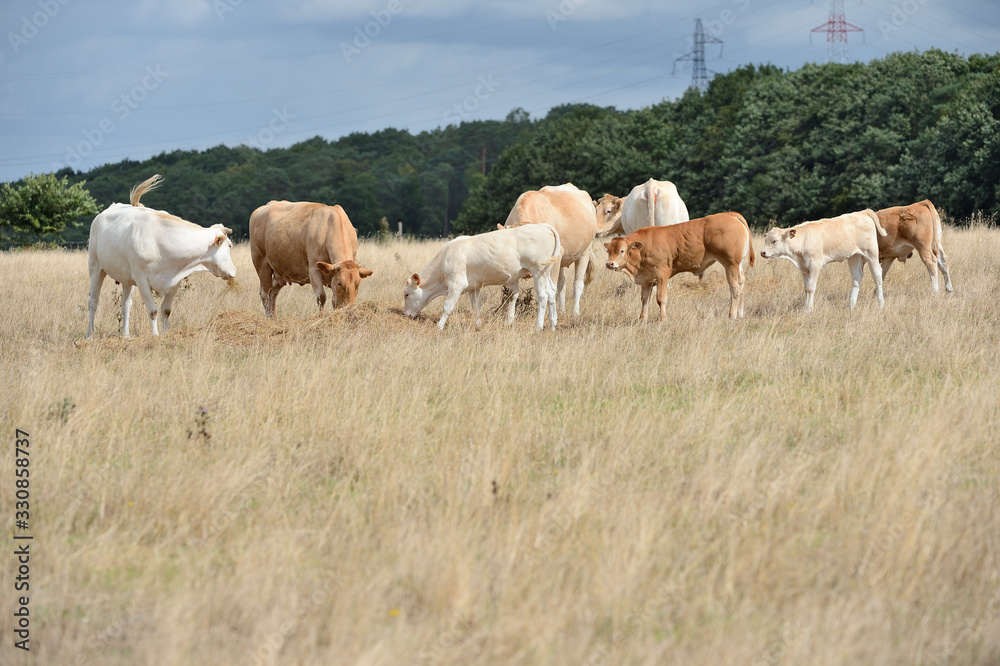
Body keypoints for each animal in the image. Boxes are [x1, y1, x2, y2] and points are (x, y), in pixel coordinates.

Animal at [85, 175, 235, 338]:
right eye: (230, 245)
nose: (234, 272)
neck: (161, 242)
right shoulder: (141, 279)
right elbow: (153, 310)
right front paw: (155, 334)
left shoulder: (175, 280)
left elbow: (166, 310)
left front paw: (165, 332)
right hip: (95, 267)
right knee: (93, 301)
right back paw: (89, 335)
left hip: (126, 278)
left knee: (126, 305)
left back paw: (126, 334)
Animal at [404, 223, 564, 330]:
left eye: (406, 294)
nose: (405, 314)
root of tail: (543, 226)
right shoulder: (473, 287)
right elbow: (477, 307)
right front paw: (478, 324)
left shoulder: (456, 284)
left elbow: (447, 306)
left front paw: (440, 325)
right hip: (547, 273)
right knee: (551, 293)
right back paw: (553, 324)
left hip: (538, 271)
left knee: (543, 295)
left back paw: (538, 326)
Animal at [498, 183, 596, 316]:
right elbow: (513, 293)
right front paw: (510, 317)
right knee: (562, 284)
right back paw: (562, 311)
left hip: (584, 253)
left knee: (577, 284)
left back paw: (575, 312)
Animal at [600, 210, 752, 320]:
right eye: (608, 251)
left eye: (622, 250)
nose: (609, 263)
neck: (643, 249)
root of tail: (729, 215)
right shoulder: (646, 281)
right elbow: (645, 300)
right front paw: (642, 319)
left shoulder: (662, 275)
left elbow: (660, 298)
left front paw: (663, 319)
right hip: (738, 266)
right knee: (742, 284)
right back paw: (740, 314)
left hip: (731, 265)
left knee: (735, 289)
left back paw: (732, 316)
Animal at [760, 208, 888, 312]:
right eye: (766, 240)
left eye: (775, 241)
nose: (762, 252)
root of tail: (861, 213)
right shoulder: (804, 268)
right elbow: (806, 288)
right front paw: (806, 307)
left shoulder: (815, 264)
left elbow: (811, 288)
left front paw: (808, 310)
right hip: (854, 256)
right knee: (857, 278)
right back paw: (852, 306)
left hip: (871, 253)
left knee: (877, 276)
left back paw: (881, 304)